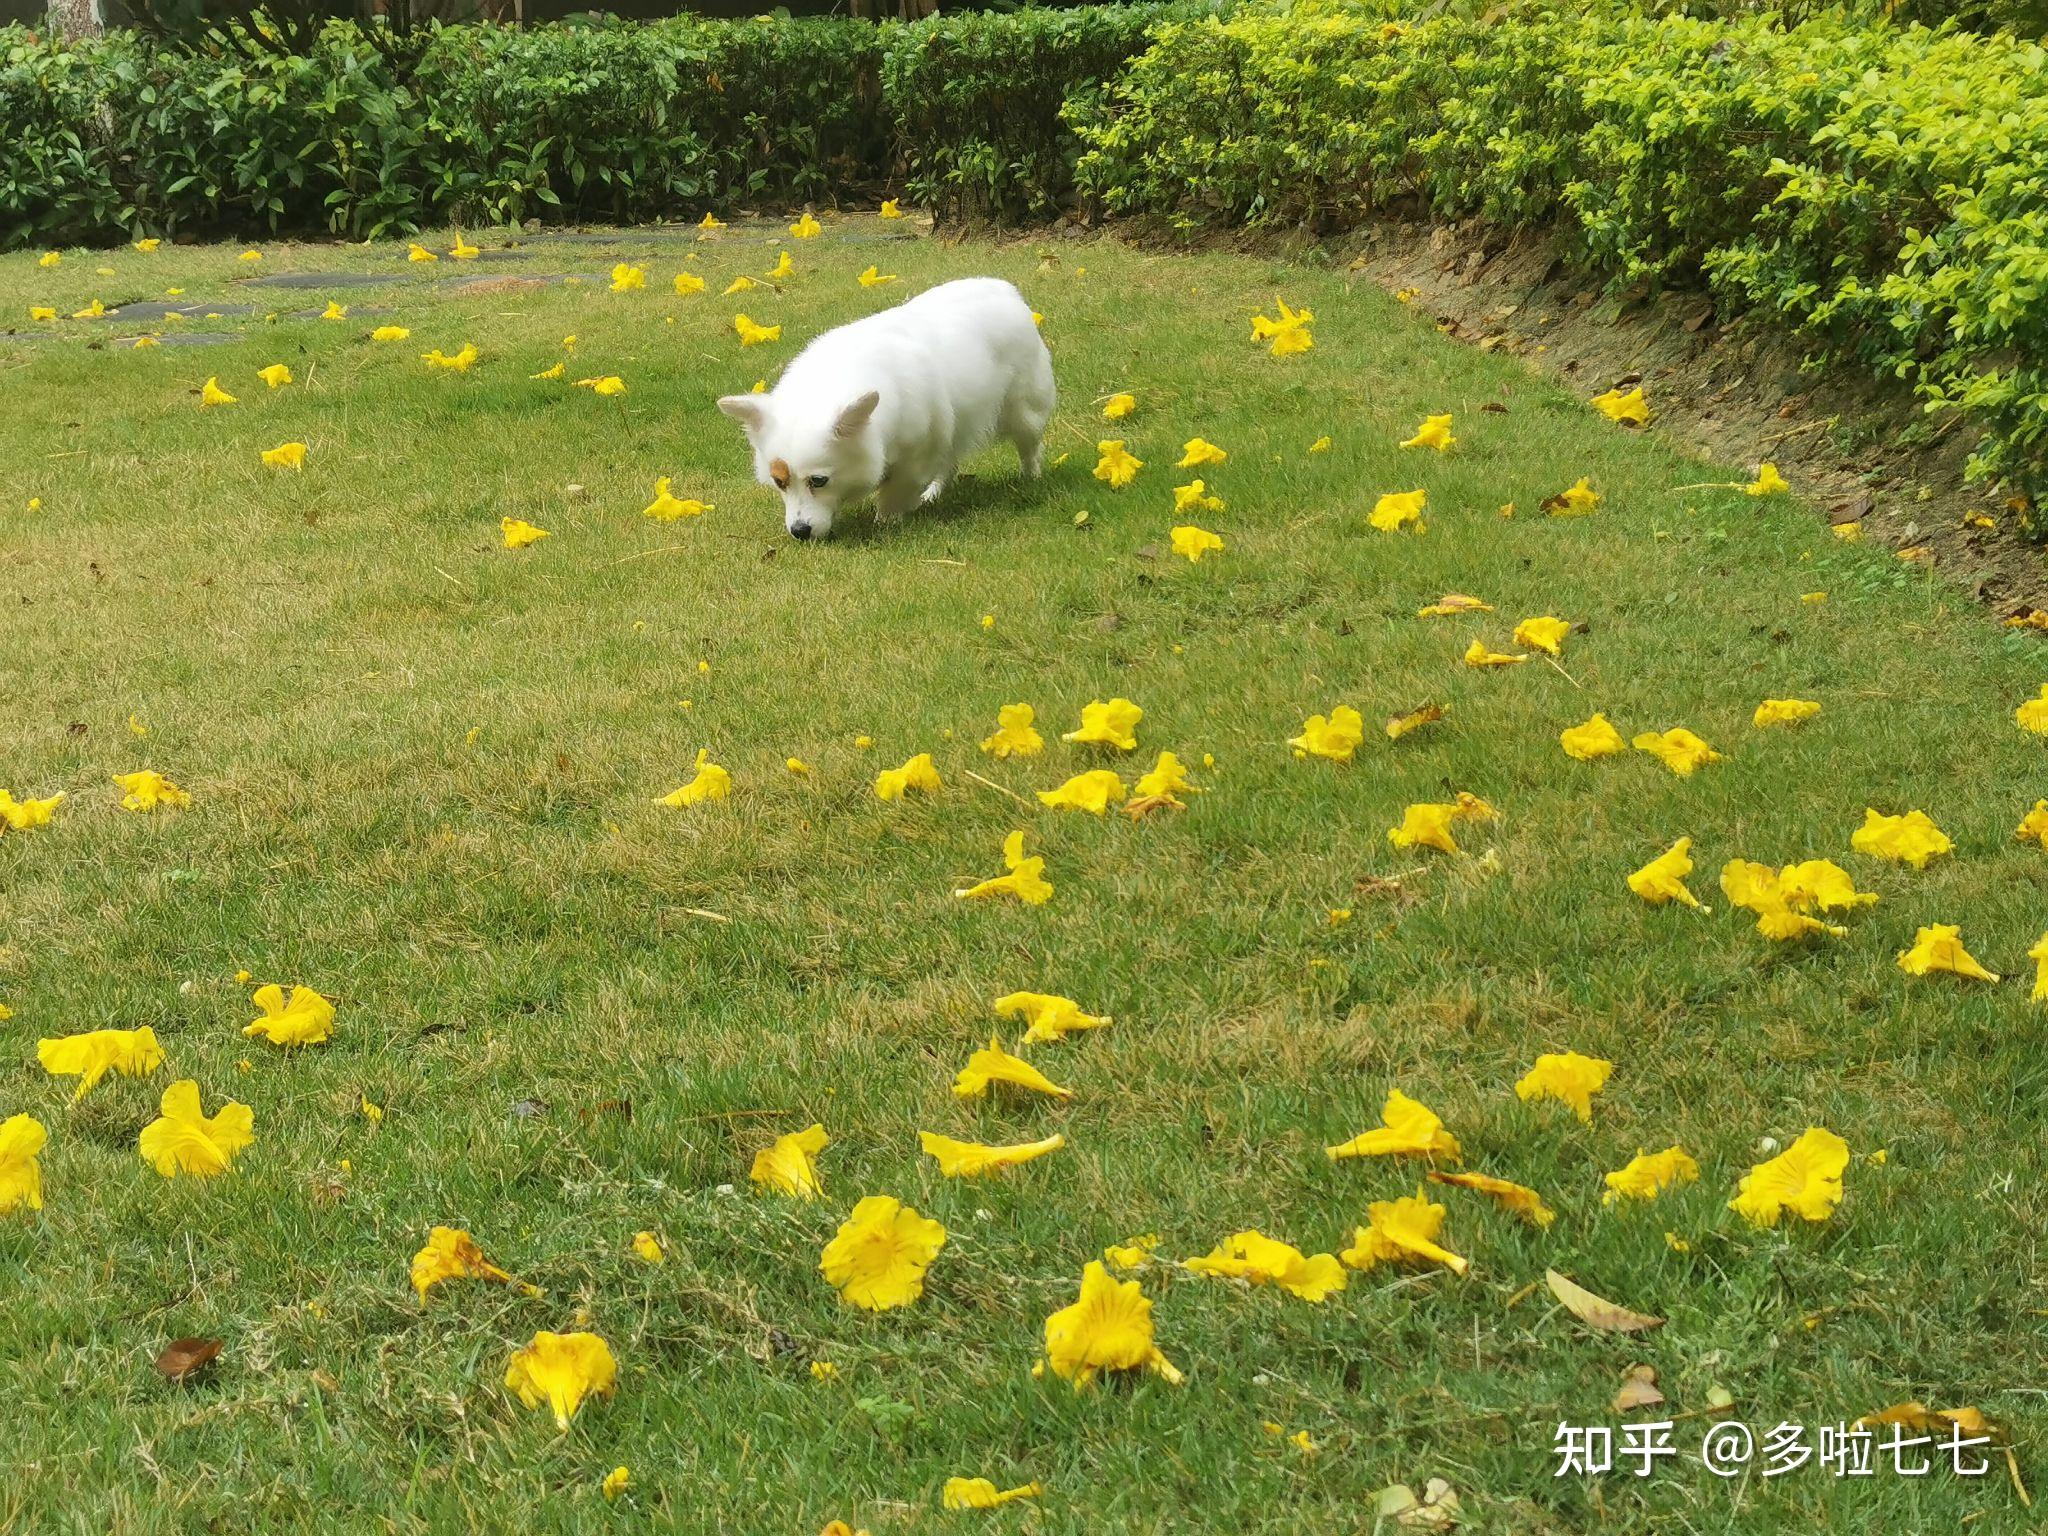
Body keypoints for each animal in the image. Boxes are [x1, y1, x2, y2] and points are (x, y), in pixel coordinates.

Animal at [716, 278, 1048, 540]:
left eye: (819, 481)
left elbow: (895, 490)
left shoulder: (918, 455)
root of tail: (1005, 290)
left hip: (1023, 413)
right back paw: (932, 495)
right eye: (779, 482)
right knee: (949, 463)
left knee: (1028, 447)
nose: (799, 532)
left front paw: (886, 520)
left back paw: (1030, 478)